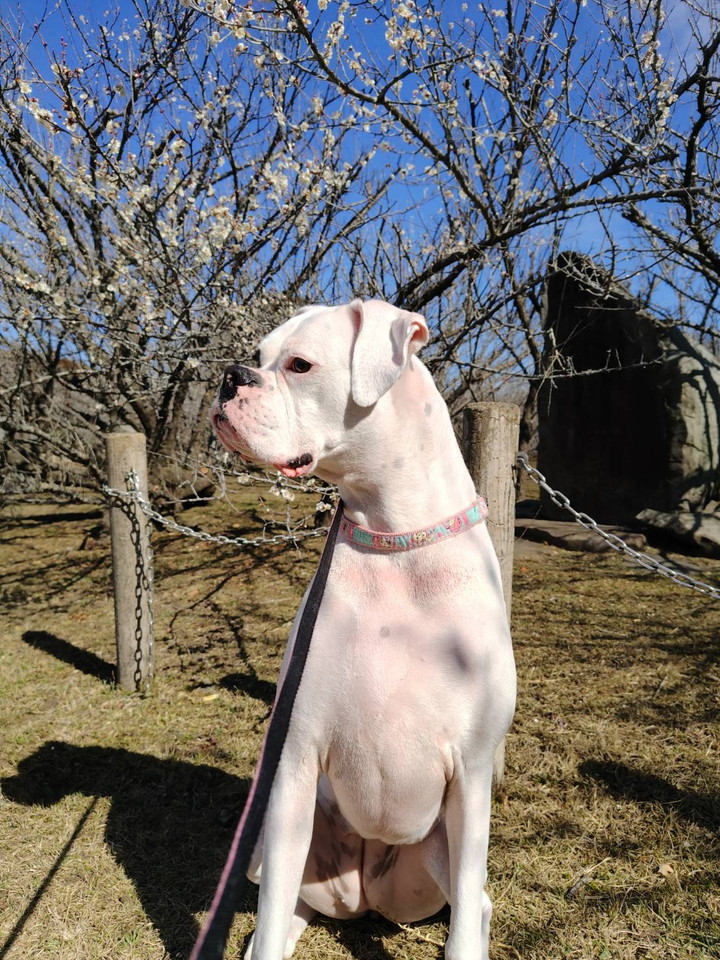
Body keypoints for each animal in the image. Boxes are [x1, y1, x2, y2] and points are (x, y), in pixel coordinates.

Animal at [210, 299, 515, 960]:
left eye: (299, 365)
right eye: (258, 355)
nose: (229, 377)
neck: (392, 540)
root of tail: (369, 896)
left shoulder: (473, 777)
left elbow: (466, 917)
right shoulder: (295, 764)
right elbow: (273, 908)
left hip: (440, 848)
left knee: (474, 903)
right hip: (274, 840)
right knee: (283, 904)